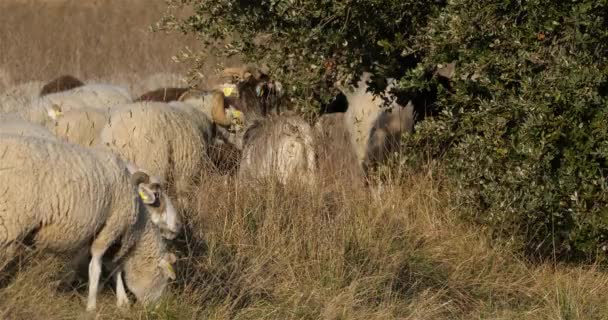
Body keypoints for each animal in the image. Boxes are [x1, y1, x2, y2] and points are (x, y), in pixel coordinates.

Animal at [0, 134, 179, 312]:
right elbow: (96, 266)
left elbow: (114, 267)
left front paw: (122, 301)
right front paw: (92, 304)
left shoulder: (109, 237)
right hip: (10, 222)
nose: (157, 309)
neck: (139, 223)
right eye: (163, 278)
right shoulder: (110, 228)